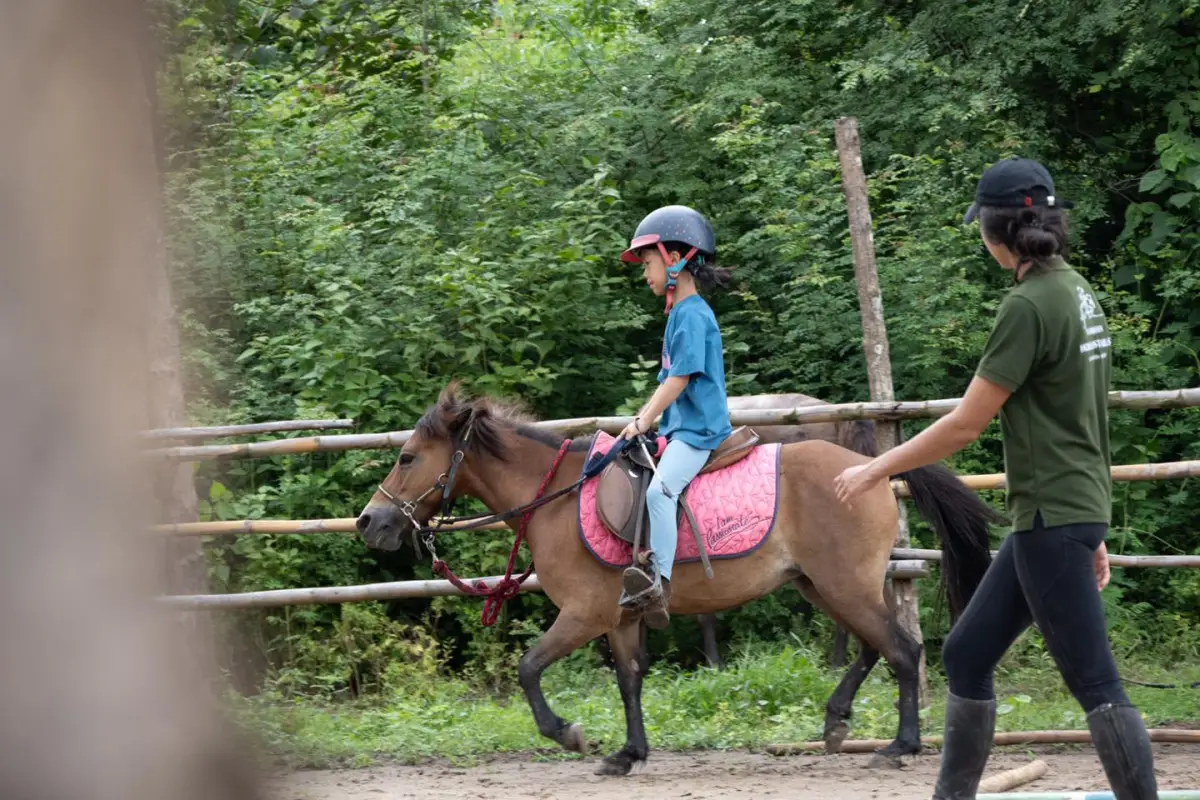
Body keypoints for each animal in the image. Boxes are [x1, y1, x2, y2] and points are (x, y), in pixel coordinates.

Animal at [356, 384, 998, 775]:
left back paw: (899, 745)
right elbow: (630, 681)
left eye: (407, 457)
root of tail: (872, 468)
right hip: (825, 584)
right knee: (874, 646)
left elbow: (529, 667)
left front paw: (568, 734)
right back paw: (837, 721)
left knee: (902, 649)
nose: (370, 521)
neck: (557, 497)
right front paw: (628, 752)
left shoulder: (584, 614)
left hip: (844, 584)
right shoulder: (619, 616)